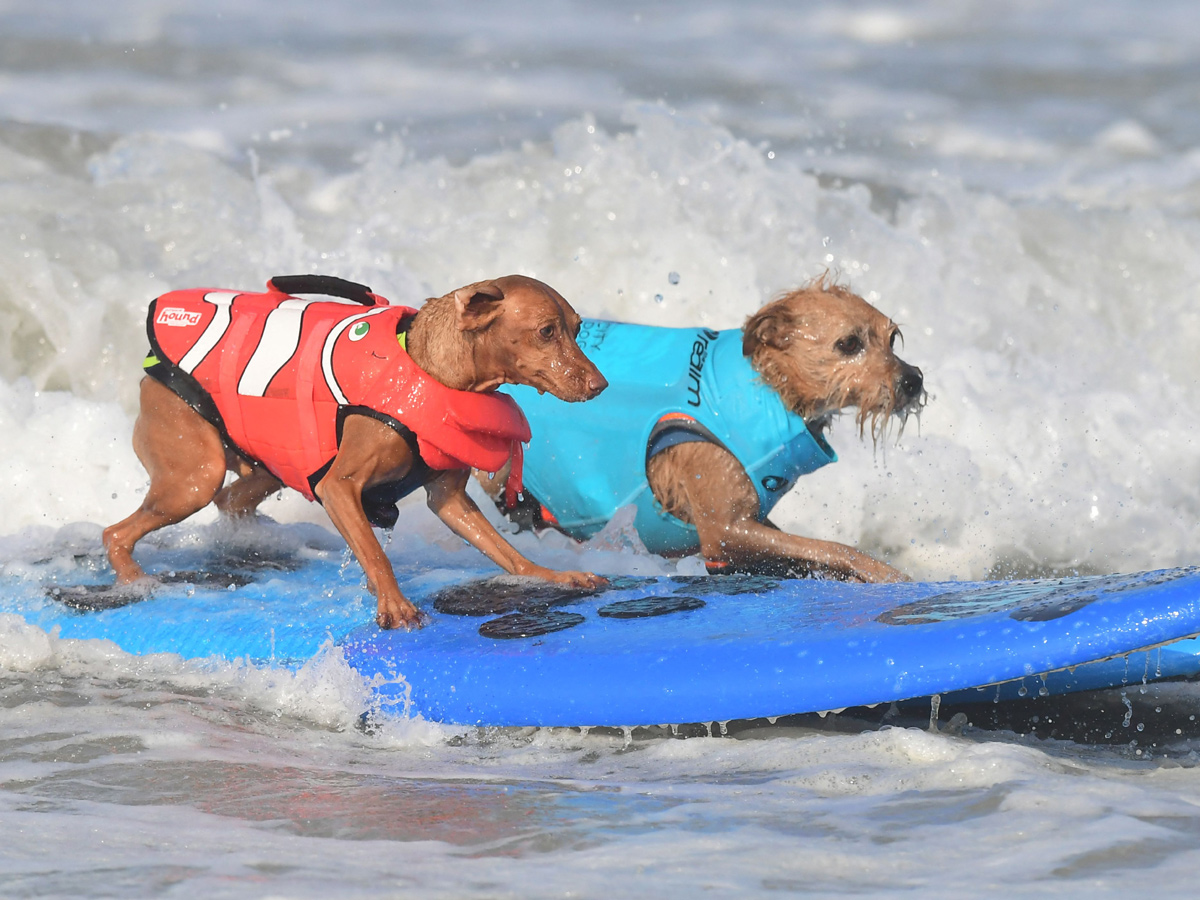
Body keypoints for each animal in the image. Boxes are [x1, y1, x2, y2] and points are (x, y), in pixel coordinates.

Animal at [103, 271, 609, 628]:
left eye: (578, 328)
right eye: (546, 331)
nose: (600, 385)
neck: (428, 368)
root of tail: (149, 362)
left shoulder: (449, 499)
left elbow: (506, 552)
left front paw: (548, 575)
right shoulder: (339, 487)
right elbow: (376, 553)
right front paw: (394, 604)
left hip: (262, 465)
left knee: (230, 501)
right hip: (193, 477)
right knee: (116, 533)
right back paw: (136, 582)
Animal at [482, 277, 921, 585]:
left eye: (892, 338)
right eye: (849, 343)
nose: (913, 380)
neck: (766, 387)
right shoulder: (724, 532)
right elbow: (833, 547)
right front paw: (886, 573)